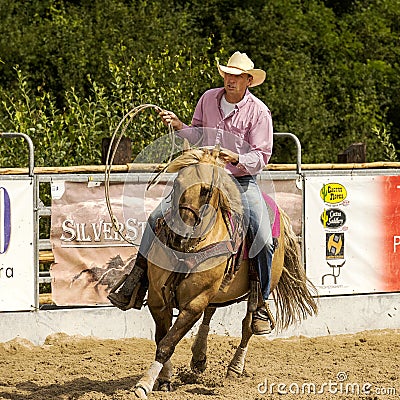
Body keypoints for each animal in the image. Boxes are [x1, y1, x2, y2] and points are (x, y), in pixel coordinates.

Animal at [133, 148, 318, 400]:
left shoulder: (194, 303)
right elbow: (161, 338)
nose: (178, 235)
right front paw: (163, 379)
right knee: (211, 312)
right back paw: (199, 357)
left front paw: (144, 384)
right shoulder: (157, 299)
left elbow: (167, 343)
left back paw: (234, 368)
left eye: (206, 190)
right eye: (177, 183)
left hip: (259, 287)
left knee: (248, 325)